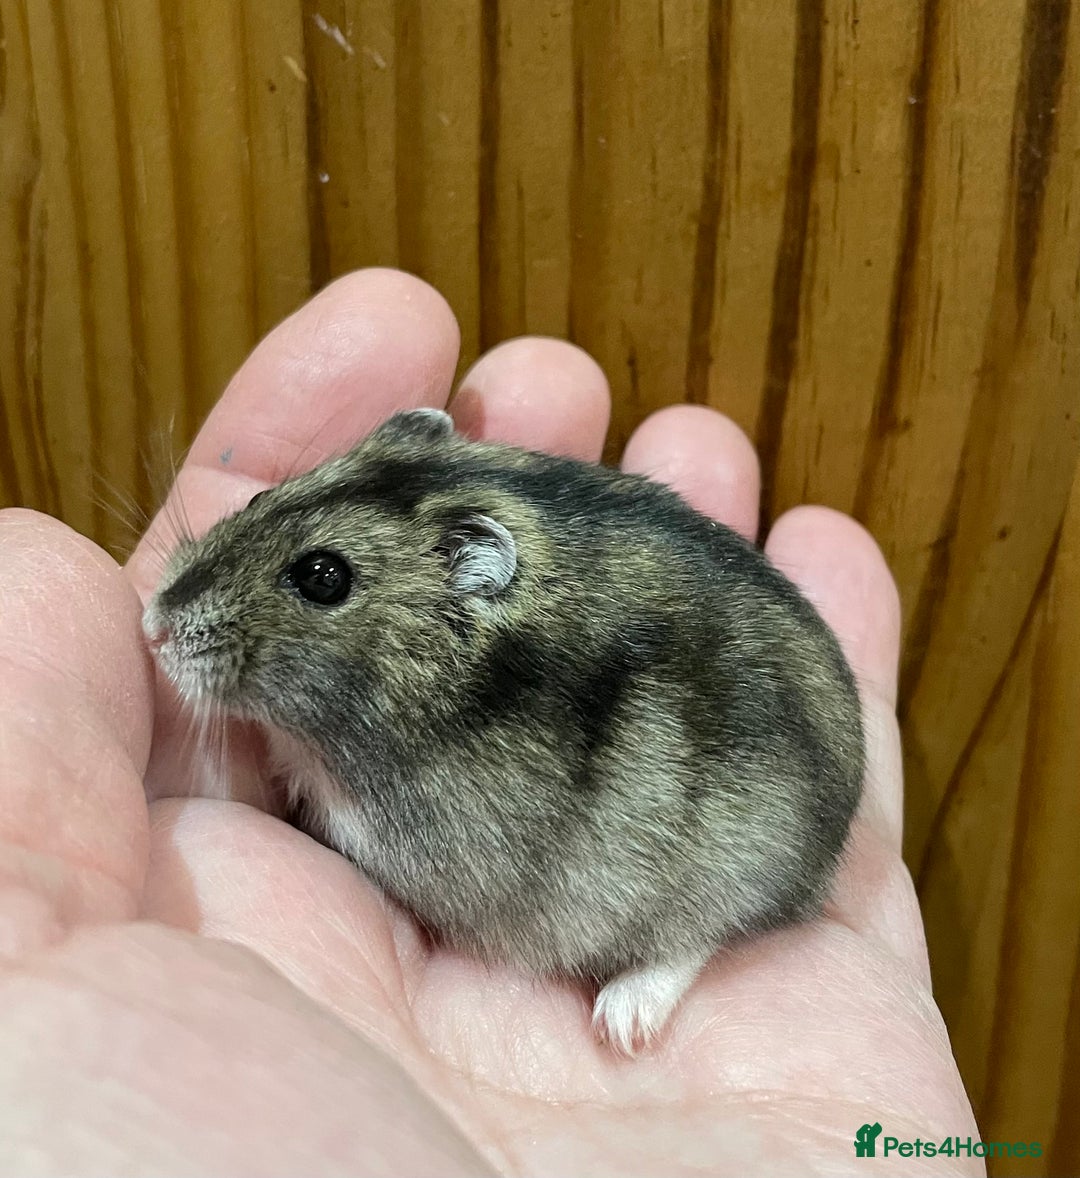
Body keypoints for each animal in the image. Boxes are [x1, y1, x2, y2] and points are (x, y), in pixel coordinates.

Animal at [143, 408, 865, 1055]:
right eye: (260, 496)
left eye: (324, 577)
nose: (153, 626)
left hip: (729, 864)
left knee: (694, 937)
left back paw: (621, 1024)